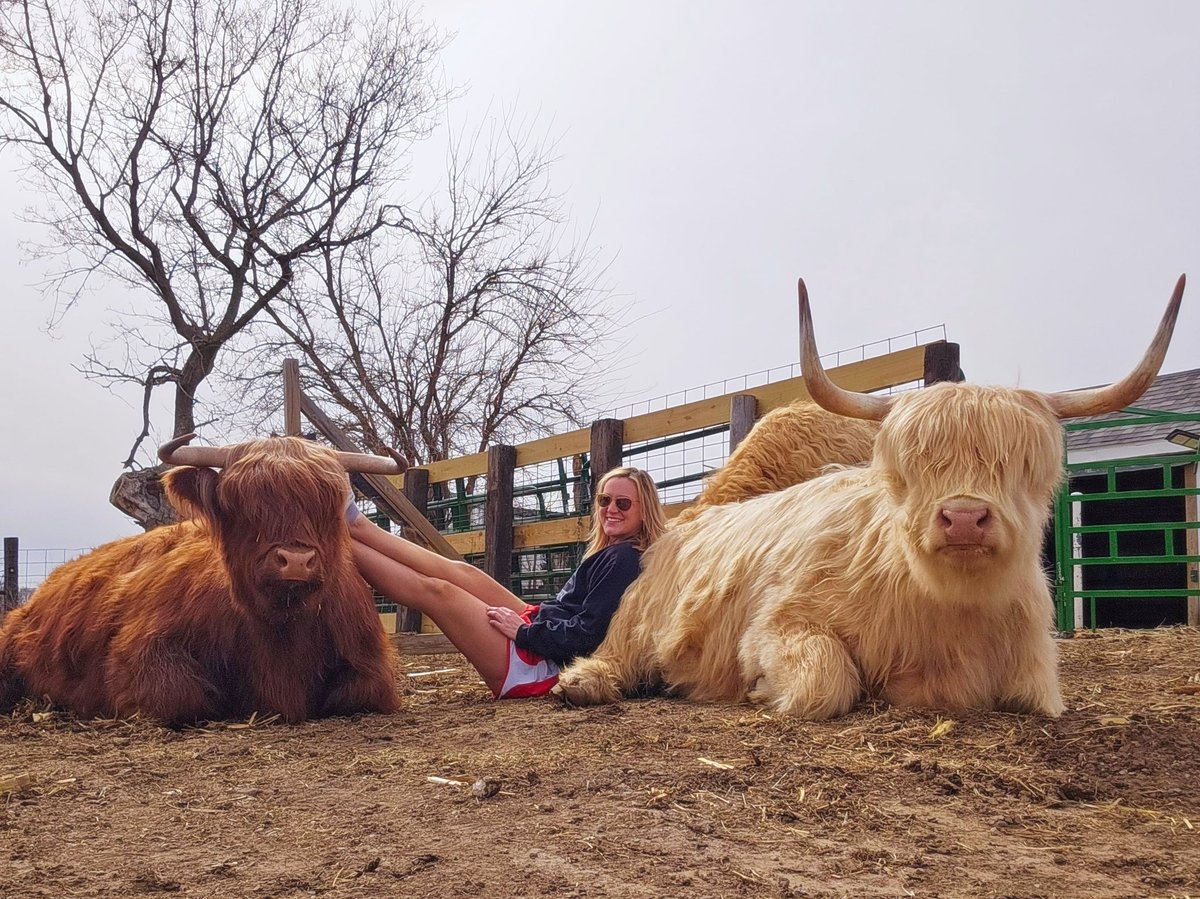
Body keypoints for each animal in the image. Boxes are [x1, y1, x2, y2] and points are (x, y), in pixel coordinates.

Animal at [0, 435, 402, 725]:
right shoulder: (143, 652)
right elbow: (181, 696)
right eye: (238, 500)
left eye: (329, 501)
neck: (280, 629)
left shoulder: (370, 664)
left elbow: (360, 692)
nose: (296, 560)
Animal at [557, 276, 1185, 719]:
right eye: (910, 467)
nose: (963, 518)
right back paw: (581, 683)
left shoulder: (1033, 673)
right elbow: (826, 682)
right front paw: (759, 689)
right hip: (634, 626)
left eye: (1022, 465)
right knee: (615, 655)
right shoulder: (780, 624)